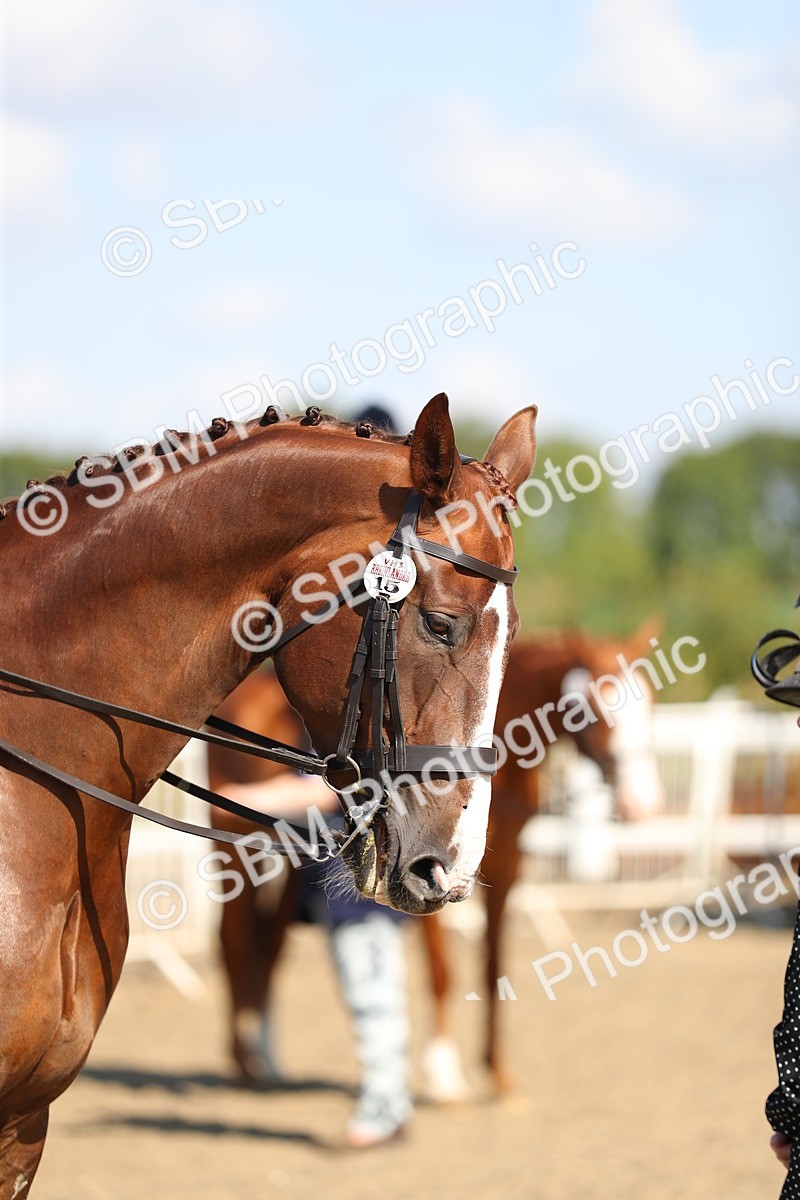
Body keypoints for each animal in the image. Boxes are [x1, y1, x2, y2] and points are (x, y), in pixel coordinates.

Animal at [206, 621, 663, 1095]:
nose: (641, 804)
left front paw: (497, 1069)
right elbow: (444, 971)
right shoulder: (427, 870)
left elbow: (493, 964)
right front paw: (444, 1073)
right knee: (234, 942)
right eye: (592, 707)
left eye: (650, 705)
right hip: (235, 853)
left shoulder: (506, 867)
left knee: (269, 945)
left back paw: (267, 1056)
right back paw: (245, 1061)